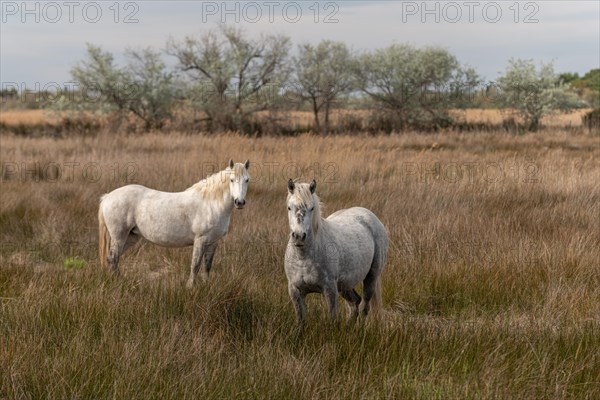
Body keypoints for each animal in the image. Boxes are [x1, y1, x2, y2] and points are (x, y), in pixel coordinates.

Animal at [99, 158, 250, 286]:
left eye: (247, 180)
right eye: (231, 180)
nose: (239, 202)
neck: (211, 204)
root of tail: (107, 197)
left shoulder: (213, 242)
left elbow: (207, 266)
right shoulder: (200, 240)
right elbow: (195, 265)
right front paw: (190, 287)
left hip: (130, 237)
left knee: (114, 259)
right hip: (119, 236)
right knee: (113, 258)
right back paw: (118, 283)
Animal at [282, 180, 386, 326]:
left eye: (312, 208)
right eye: (289, 207)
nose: (299, 236)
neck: (303, 259)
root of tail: (370, 215)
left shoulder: (330, 290)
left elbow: (332, 319)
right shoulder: (295, 292)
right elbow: (301, 321)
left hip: (371, 277)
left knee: (364, 307)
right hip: (345, 285)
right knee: (355, 303)